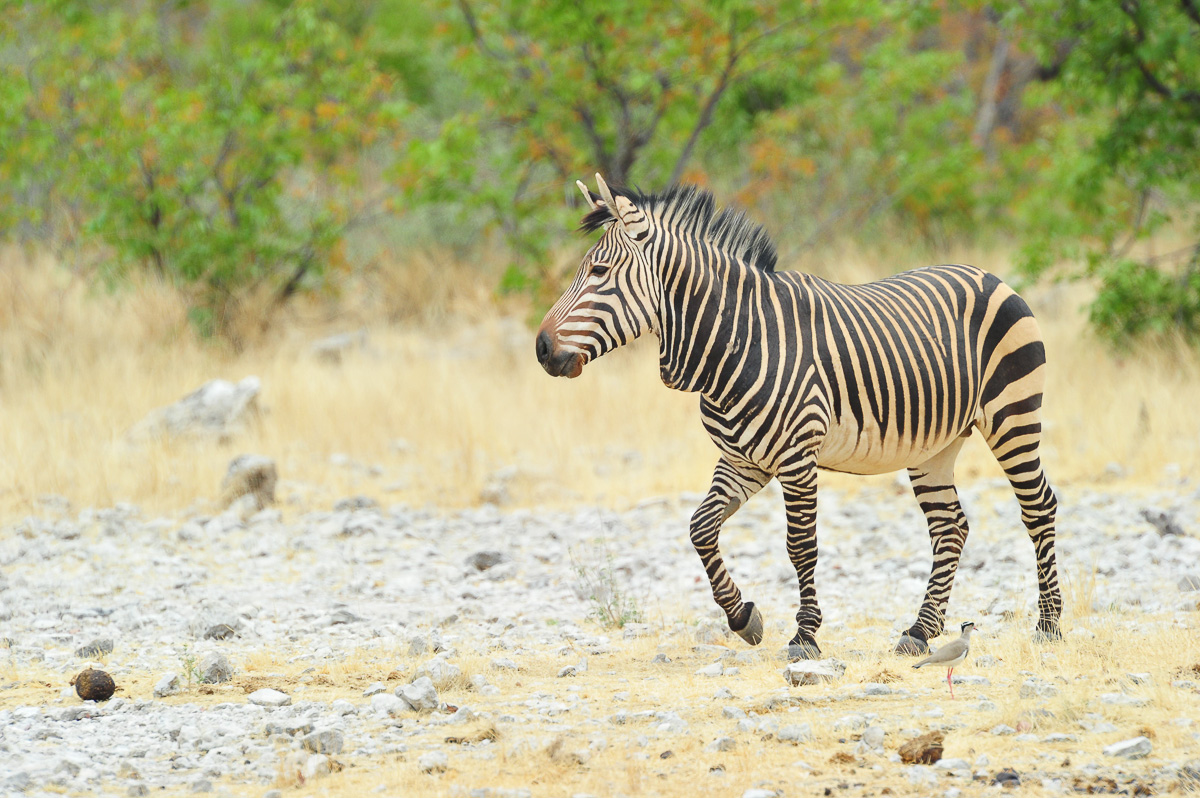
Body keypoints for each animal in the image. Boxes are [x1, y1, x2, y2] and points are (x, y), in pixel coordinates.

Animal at [535, 174, 1061, 659]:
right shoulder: (743, 459)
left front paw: (805, 636)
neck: (737, 341)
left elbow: (800, 546)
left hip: (1012, 417)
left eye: (599, 270)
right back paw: (919, 631)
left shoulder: (795, 457)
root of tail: (990, 275)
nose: (541, 349)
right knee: (950, 528)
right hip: (935, 444)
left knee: (1038, 507)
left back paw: (1049, 625)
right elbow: (700, 527)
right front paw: (743, 617)